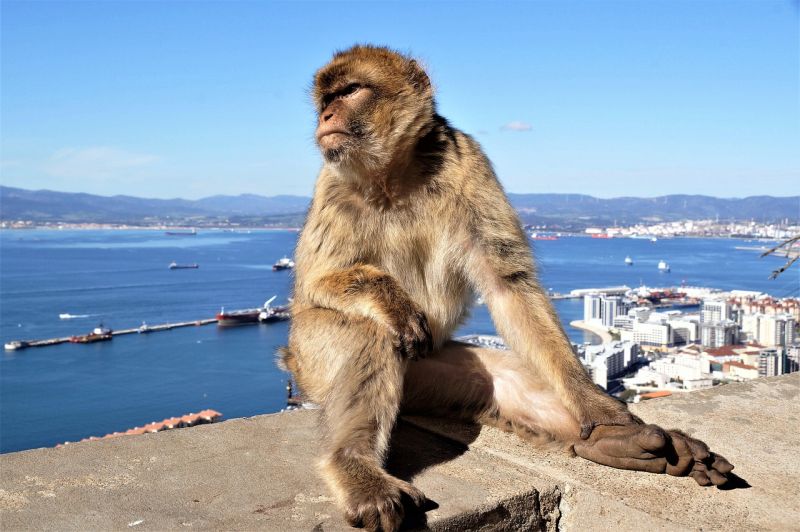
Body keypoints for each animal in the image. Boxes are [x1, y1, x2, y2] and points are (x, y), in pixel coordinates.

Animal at [282, 45, 734, 531]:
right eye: (326, 98)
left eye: (350, 91)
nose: (326, 115)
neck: (394, 173)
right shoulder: (333, 184)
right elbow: (314, 283)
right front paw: (395, 306)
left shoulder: (468, 160)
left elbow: (508, 285)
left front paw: (604, 412)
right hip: (309, 358)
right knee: (368, 333)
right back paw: (356, 466)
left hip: (424, 372)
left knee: (500, 376)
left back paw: (614, 442)